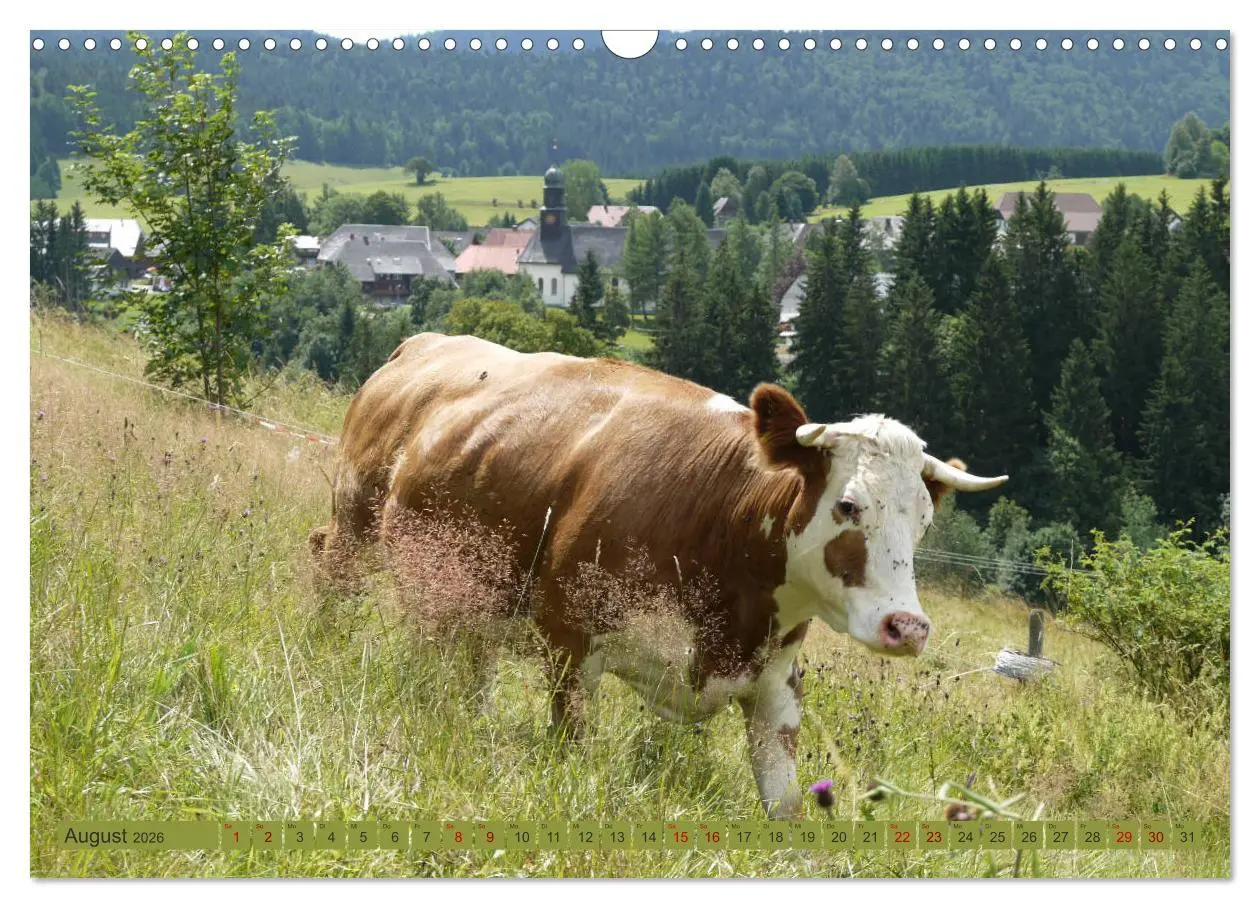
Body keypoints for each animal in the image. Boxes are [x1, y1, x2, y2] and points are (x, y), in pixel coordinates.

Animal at [310, 332, 1008, 818]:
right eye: (849, 505)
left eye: (924, 523)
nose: (907, 627)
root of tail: (422, 345)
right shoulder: (570, 639)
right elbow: (572, 750)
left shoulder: (776, 684)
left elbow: (786, 805)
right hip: (354, 520)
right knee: (331, 571)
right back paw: (331, 641)